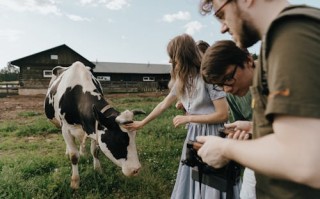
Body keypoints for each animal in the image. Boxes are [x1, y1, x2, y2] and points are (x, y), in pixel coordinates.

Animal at [44, 61, 144, 189]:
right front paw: (75, 182)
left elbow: (95, 151)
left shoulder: (94, 127)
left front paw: (98, 170)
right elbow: (74, 156)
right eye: (120, 140)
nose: (136, 169)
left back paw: (83, 151)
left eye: (134, 137)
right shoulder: (66, 128)